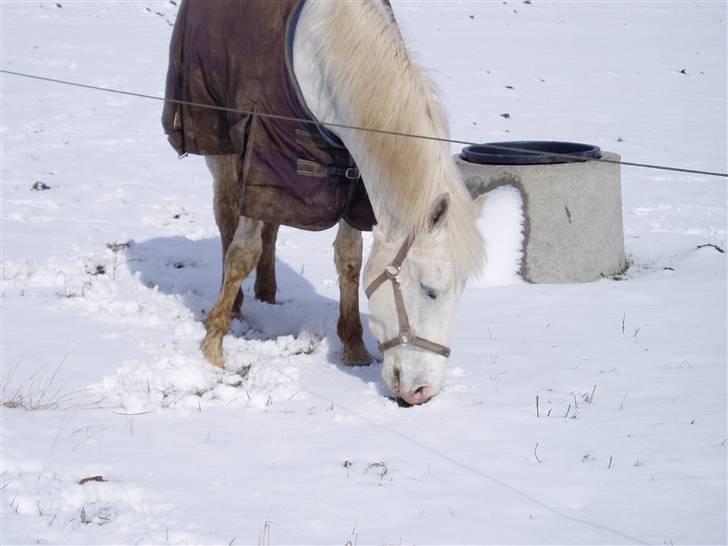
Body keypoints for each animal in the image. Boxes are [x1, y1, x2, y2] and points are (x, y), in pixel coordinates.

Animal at [162, 0, 486, 404]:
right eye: (430, 290)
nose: (422, 391)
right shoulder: (263, 151)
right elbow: (241, 255)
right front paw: (213, 350)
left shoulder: (353, 185)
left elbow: (349, 260)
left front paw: (354, 347)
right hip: (220, 141)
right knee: (227, 216)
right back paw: (235, 305)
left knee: (271, 226)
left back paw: (266, 293)